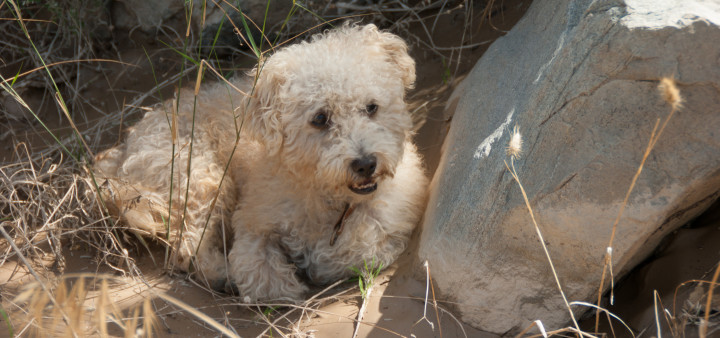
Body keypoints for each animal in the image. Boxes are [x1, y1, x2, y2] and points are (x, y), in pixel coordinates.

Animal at [93, 22, 428, 300]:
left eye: (371, 107)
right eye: (320, 118)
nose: (366, 163)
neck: (331, 202)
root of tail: (123, 148)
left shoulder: (390, 222)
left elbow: (361, 249)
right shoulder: (253, 222)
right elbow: (260, 273)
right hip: (201, 179)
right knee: (186, 245)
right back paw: (221, 274)